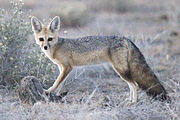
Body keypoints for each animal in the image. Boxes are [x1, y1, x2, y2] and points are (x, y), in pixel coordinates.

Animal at [31, 15, 170, 102]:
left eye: (50, 39)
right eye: (41, 39)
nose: (45, 47)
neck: (57, 47)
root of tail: (125, 38)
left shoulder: (67, 67)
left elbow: (56, 82)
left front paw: (48, 91)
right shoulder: (62, 68)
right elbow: (61, 83)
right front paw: (57, 95)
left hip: (120, 71)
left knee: (135, 85)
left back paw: (133, 102)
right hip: (122, 71)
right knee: (132, 85)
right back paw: (130, 100)